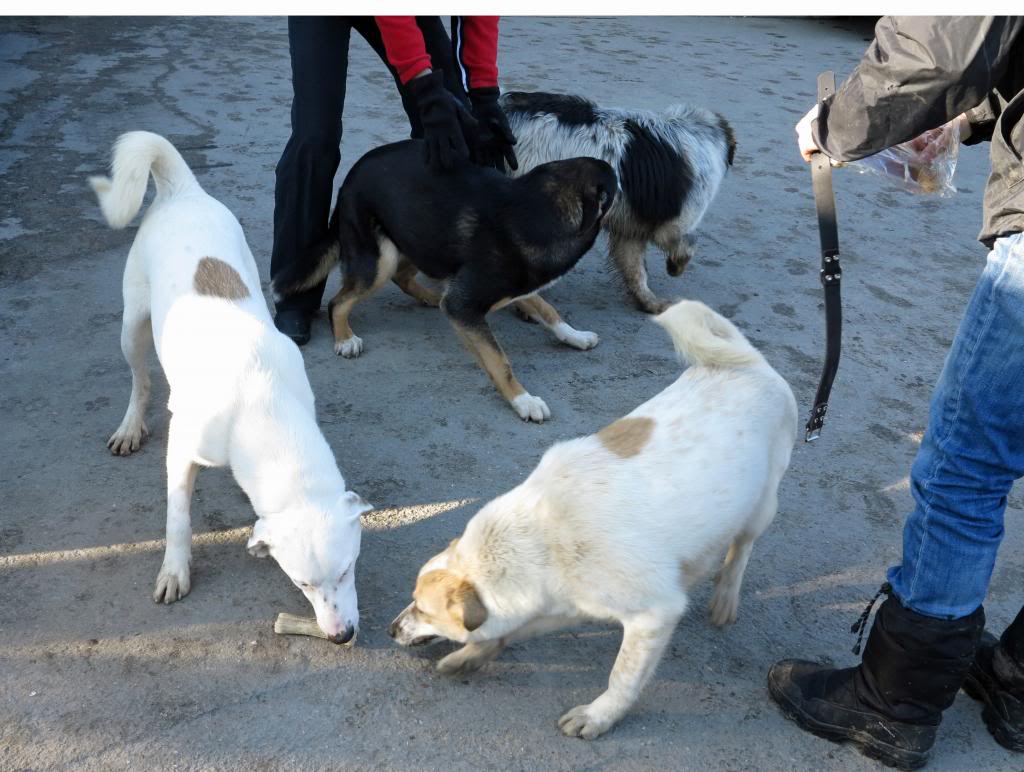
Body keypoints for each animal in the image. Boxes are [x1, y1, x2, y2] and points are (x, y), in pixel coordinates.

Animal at [91, 131, 372, 638]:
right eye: (301, 584)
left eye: (347, 569)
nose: (341, 637)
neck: (263, 402)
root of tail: (183, 191)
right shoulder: (183, 449)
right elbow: (178, 517)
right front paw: (175, 570)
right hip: (131, 326)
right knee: (140, 380)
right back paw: (130, 425)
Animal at [272, 141, 618, 423]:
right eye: (615, 183)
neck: (536, 212)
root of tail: (350, 176)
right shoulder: (463, 304)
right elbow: (499, 360)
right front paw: (523, 401)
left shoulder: (512, 285)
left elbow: (548, 310)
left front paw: (574, 336)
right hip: (380, 258)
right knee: (339, 301)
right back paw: (345, 338)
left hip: (418, 237)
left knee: (403, 277)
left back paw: (427, 297)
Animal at [387, 296, 794, 737]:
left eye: (423, 609)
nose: (391, 629)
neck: (540, 540)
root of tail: (747, 360)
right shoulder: (557, 604)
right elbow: (507, 632)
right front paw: (470, 658)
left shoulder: (655, 615)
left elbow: (623, 677)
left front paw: (599, 716)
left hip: (763, 504)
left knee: (742, 548)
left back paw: (725, 595)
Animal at [497, 92, 733, 313]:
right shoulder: (674, 225)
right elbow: (687, 245)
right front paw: (676, 266)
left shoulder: (631, 230)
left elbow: (635, 270)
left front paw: (649, 302)